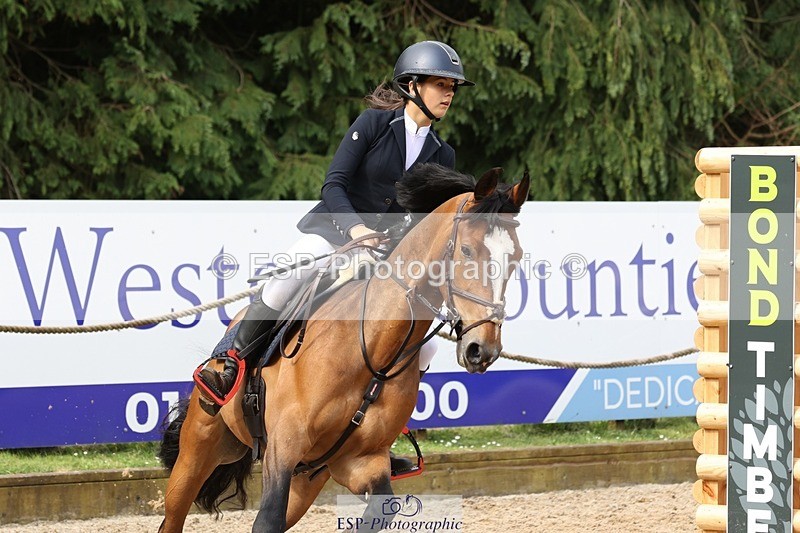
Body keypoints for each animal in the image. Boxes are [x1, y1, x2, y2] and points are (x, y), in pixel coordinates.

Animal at [157, 163, 530, 532]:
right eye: (466, 250)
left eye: (516, 258)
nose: (482, 349)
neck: (371, 352)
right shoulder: (283, 447)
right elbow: (267, 520)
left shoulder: (361, 461)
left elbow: (381, 509)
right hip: (199, 448)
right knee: (173, 515)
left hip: (306, 477)